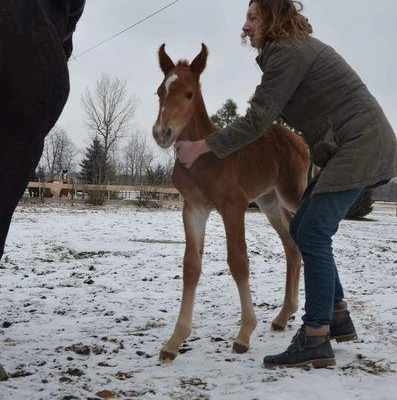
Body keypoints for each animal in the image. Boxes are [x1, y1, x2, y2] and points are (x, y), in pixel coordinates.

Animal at [152, 43, 310, 362]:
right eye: (160, 92)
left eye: (189, 93)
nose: (162, 133)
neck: (203, 158)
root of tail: (301, 142)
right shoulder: (194, 208)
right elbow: (191, 266)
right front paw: (174, 341)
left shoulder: (233, 205)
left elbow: (238, 261)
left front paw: (244, 334)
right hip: (270, 203)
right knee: (292, 246)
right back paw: (283, 316)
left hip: (291, 196)